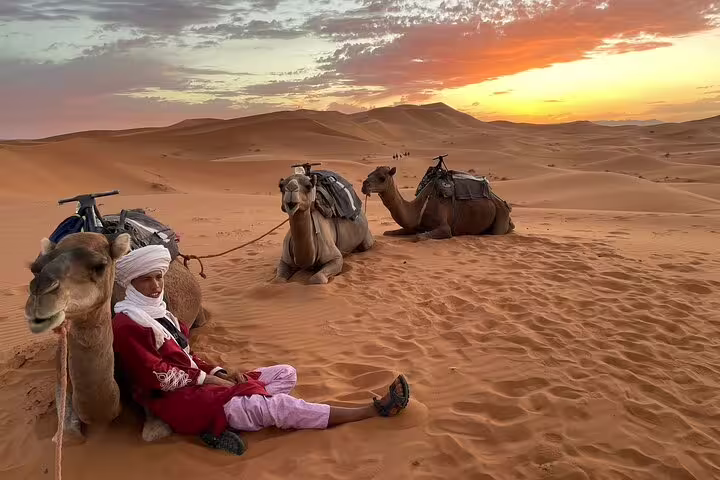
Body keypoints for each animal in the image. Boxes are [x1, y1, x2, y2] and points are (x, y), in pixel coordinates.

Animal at [361, 166, 514, 240]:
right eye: (369, 174)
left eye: (382, 178)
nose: (364, 185)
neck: (418, 208)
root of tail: (504, 203)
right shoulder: (413, 226)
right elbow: (388, 232)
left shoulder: (445, 227)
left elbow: (418, 237)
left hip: (501, 214)